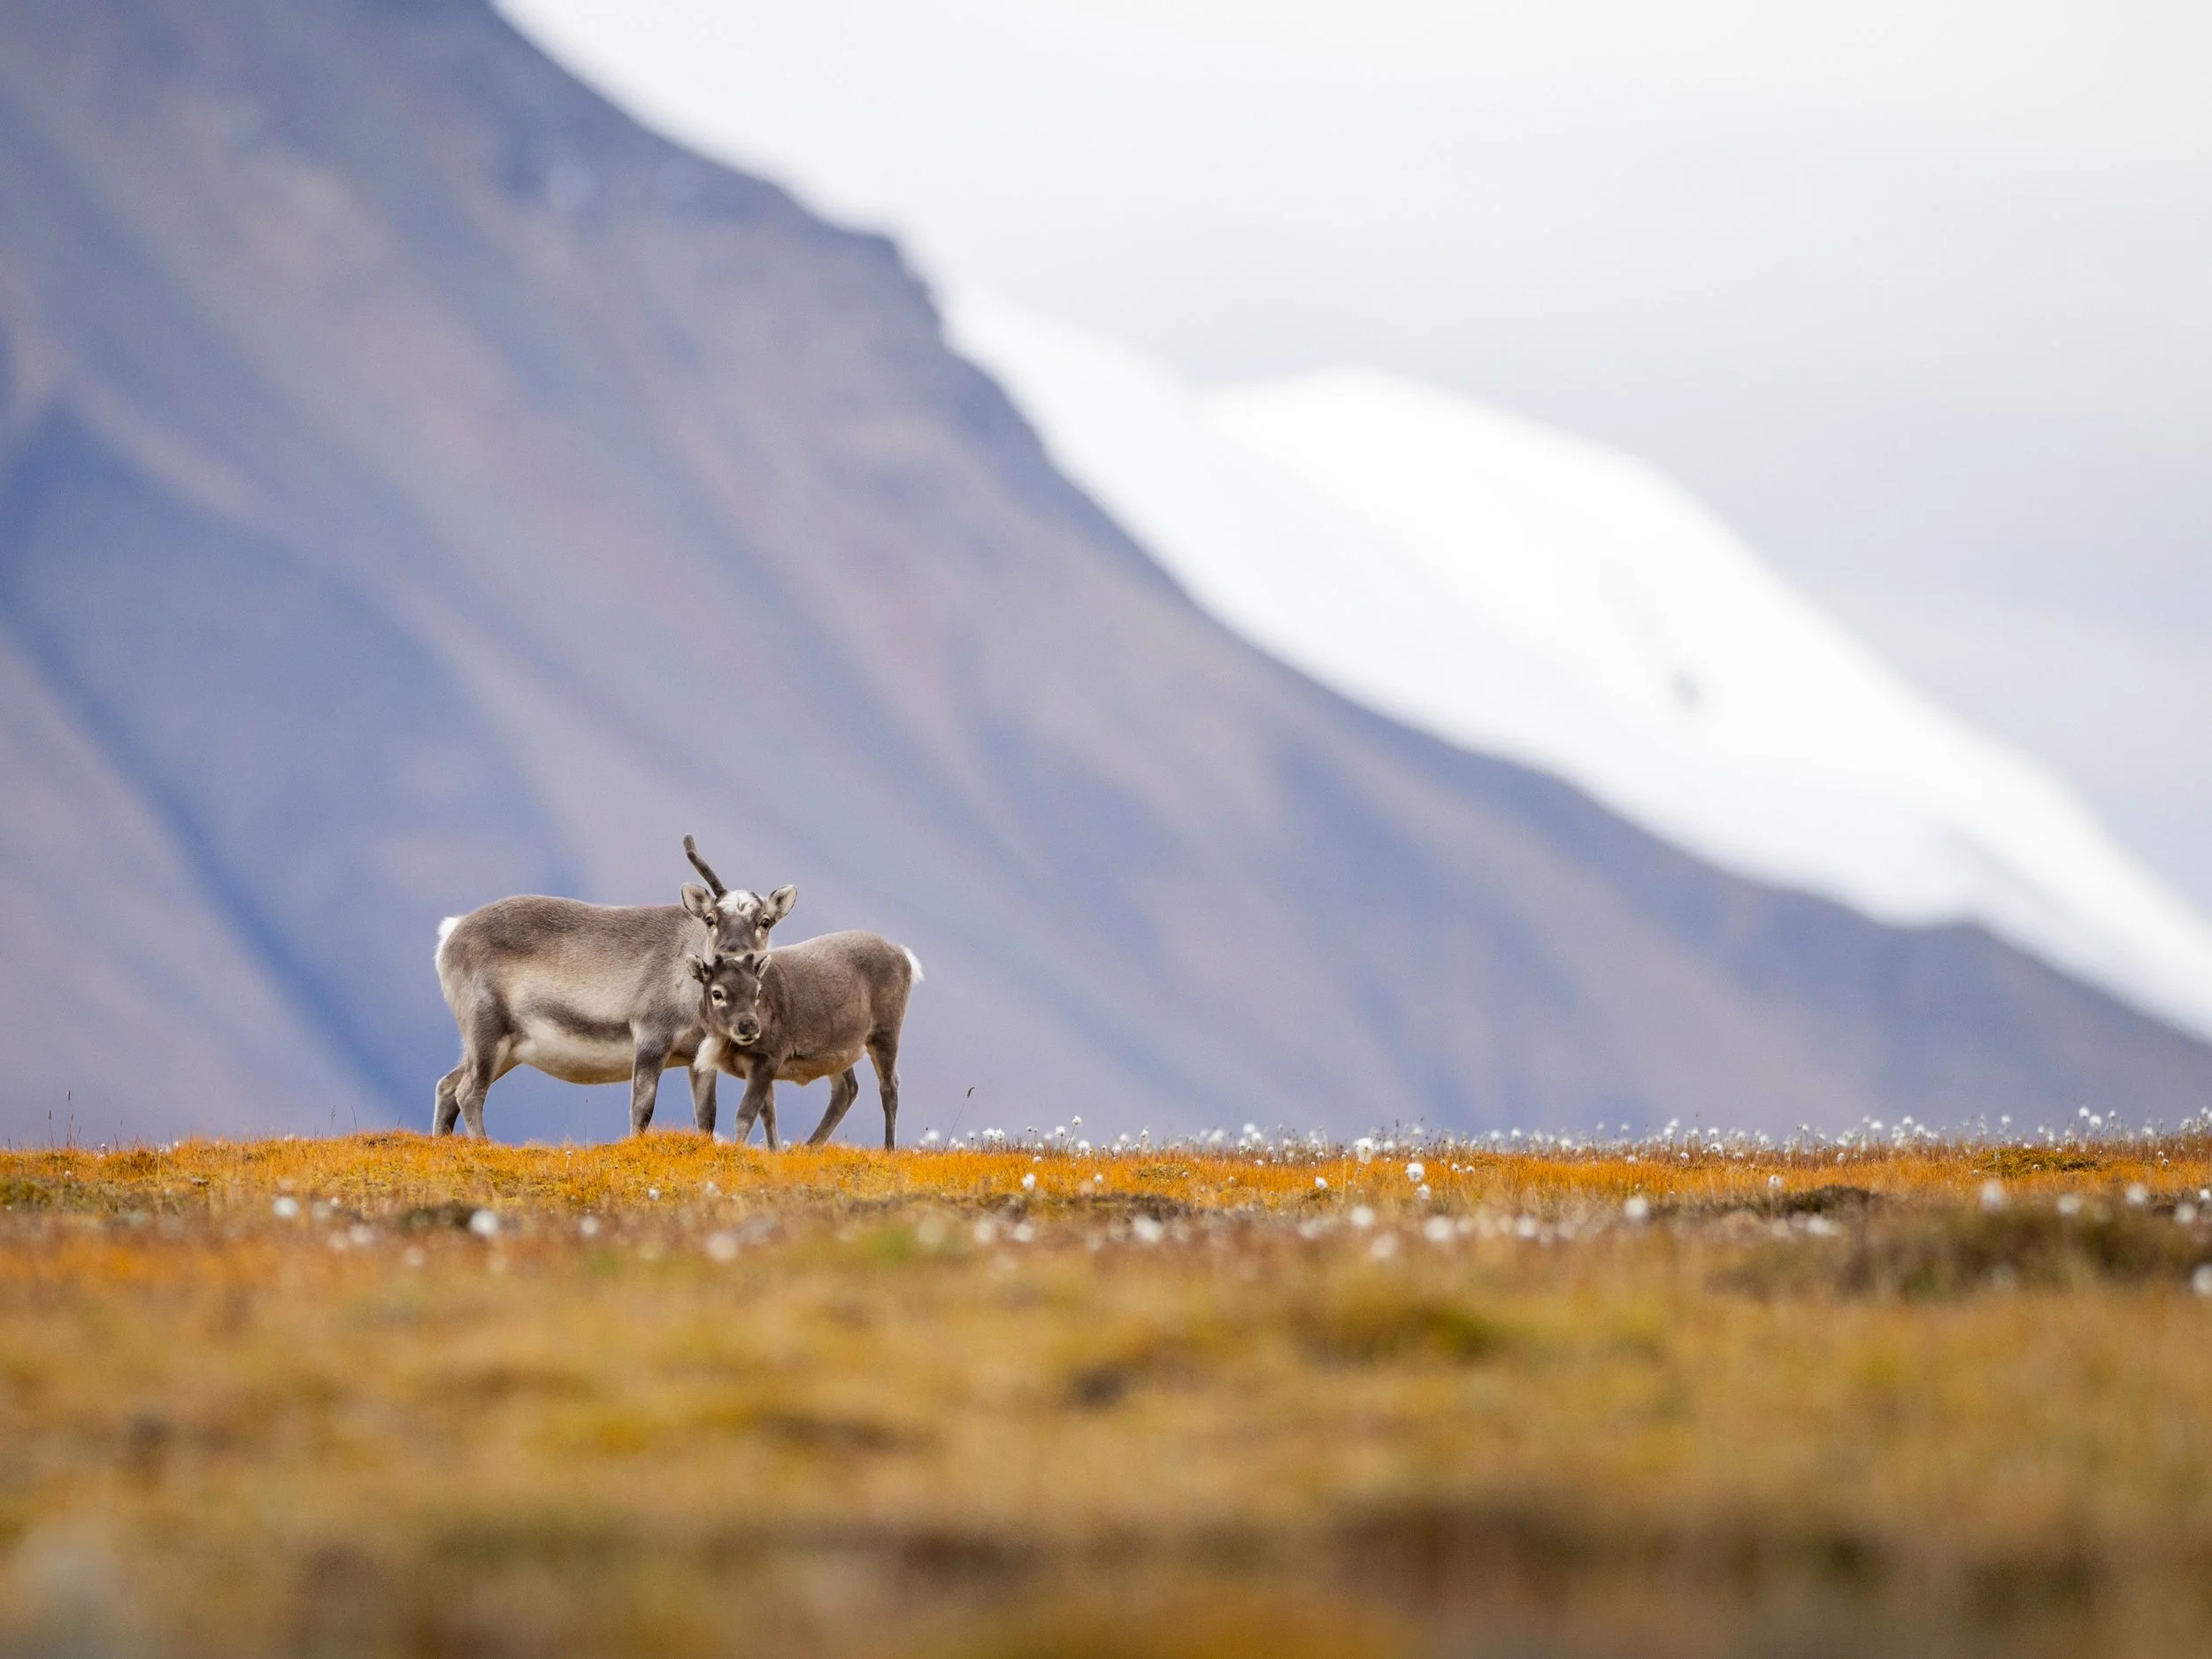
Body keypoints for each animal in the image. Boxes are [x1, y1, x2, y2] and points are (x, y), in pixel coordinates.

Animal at [431, 837, 796, 1140]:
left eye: (764, 921)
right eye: (710, 918)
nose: (733, 955)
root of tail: (451, 933)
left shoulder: (698, 1057)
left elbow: (707, 1117)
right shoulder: (651, 1037)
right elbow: (642, 1110)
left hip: (505, 1048)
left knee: (447, 1086)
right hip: (487, 1032)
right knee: (468, 1092)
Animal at [687, 930, 922, 1150]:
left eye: (757, 991)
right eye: (717, 993)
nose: (750, 1026)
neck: (724, 1043)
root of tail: (906, 957)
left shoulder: (768, 1057)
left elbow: (746, 1114)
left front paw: (737, 1150)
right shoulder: (759, 1067)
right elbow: (768, 1113)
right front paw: (775, 1151)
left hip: (885, 1031)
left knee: (889, 1085)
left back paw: (889, 1148)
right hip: (838, 1051)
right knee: (847, 1089)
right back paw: (809, 1146)